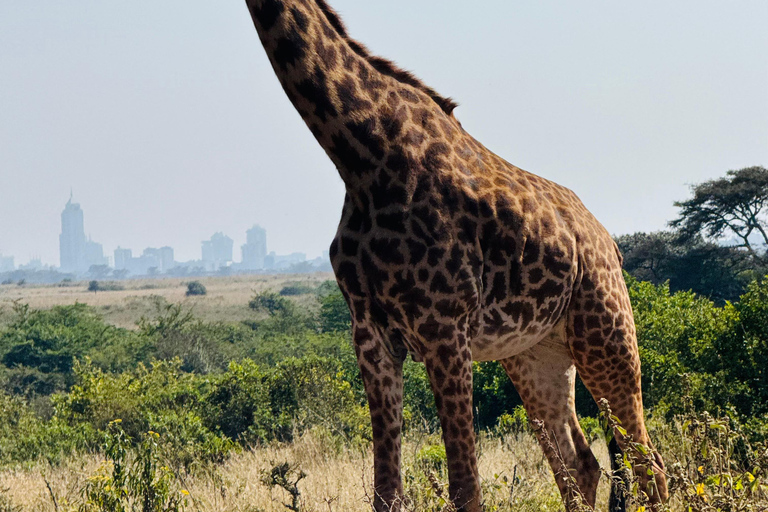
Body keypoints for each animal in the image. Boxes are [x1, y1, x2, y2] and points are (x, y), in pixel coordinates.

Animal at [243, 1, 668, 510]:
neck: (361, 156)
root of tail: (610, 242)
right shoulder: (370, 334)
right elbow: (387, 493)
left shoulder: (443, 327)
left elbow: (466, 490)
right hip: (535, 353)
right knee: (580, 466)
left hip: (606, 333)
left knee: (649, 465)